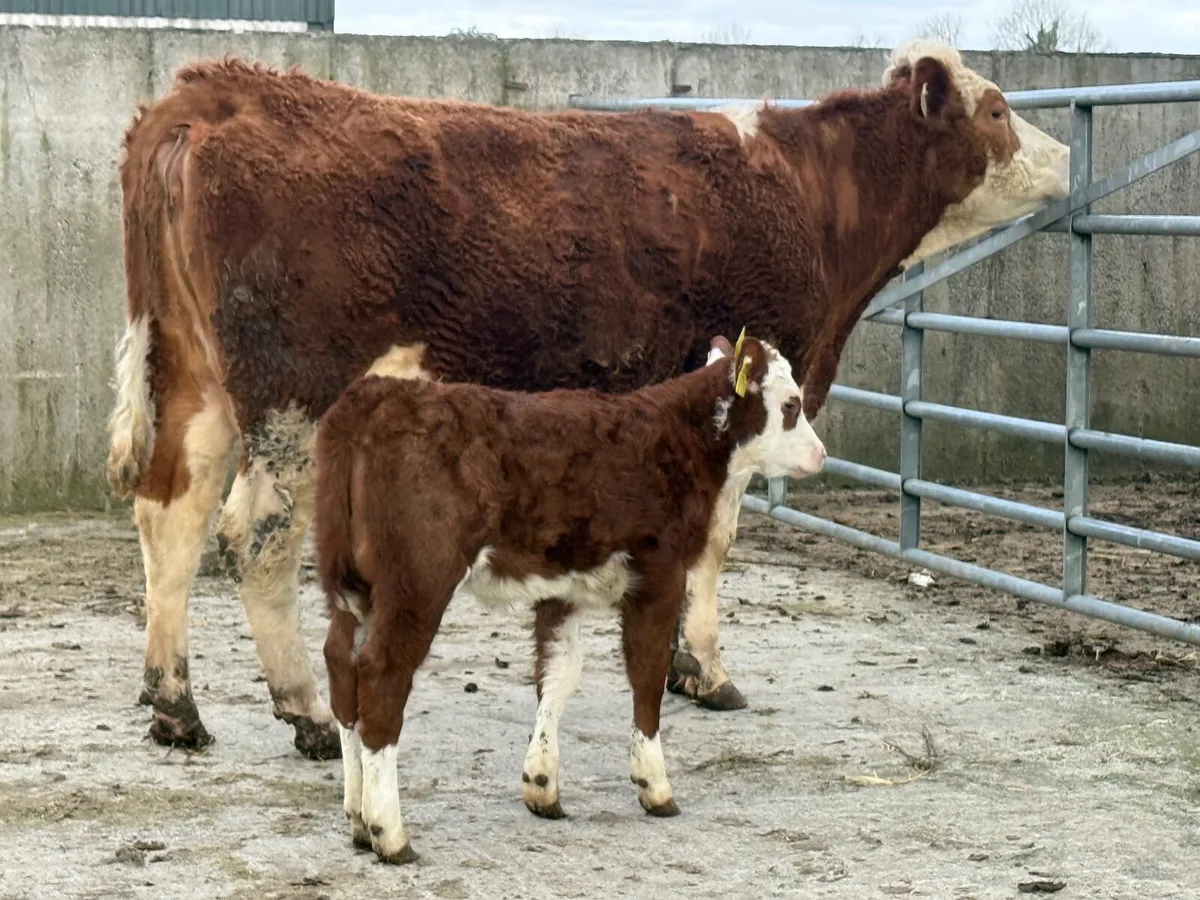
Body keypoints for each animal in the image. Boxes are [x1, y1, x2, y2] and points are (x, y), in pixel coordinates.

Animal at [105, 39, 1071, 761]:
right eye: (997, 110)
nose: (1065, 156)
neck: (805, 193)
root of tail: (212, 92)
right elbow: (717, 540)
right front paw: (705, 672)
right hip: (294, 399)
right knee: (254, 534)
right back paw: (302, 709)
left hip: (192, 378)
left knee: (170, 513)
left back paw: (174, 704)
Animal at [314, 331, 827, 862]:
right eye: (791, 405)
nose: (823, 454)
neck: (677, 436)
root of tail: (377, 397)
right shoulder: (659, 577)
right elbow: (646, 675)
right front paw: (654, 785)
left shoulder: (562, 589)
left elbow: (557, 674)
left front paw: (541, 784)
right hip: (417, 582)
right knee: (382, 677)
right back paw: (389, 832)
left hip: (351, 586)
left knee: (341, 668)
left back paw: (357, 819)